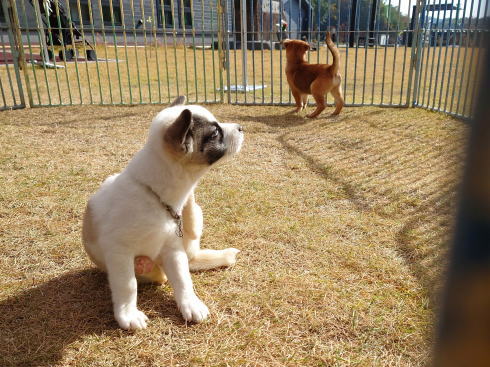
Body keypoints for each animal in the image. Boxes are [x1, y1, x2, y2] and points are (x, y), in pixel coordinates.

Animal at [84, 95, 247, 330]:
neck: (156, 198)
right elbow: (127, 284)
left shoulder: (173, 249)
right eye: (215, 133)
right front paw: (128, 314)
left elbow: (182, 278)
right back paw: (142, 265)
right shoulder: (118, 251)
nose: (241, 128)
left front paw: (190, 304)